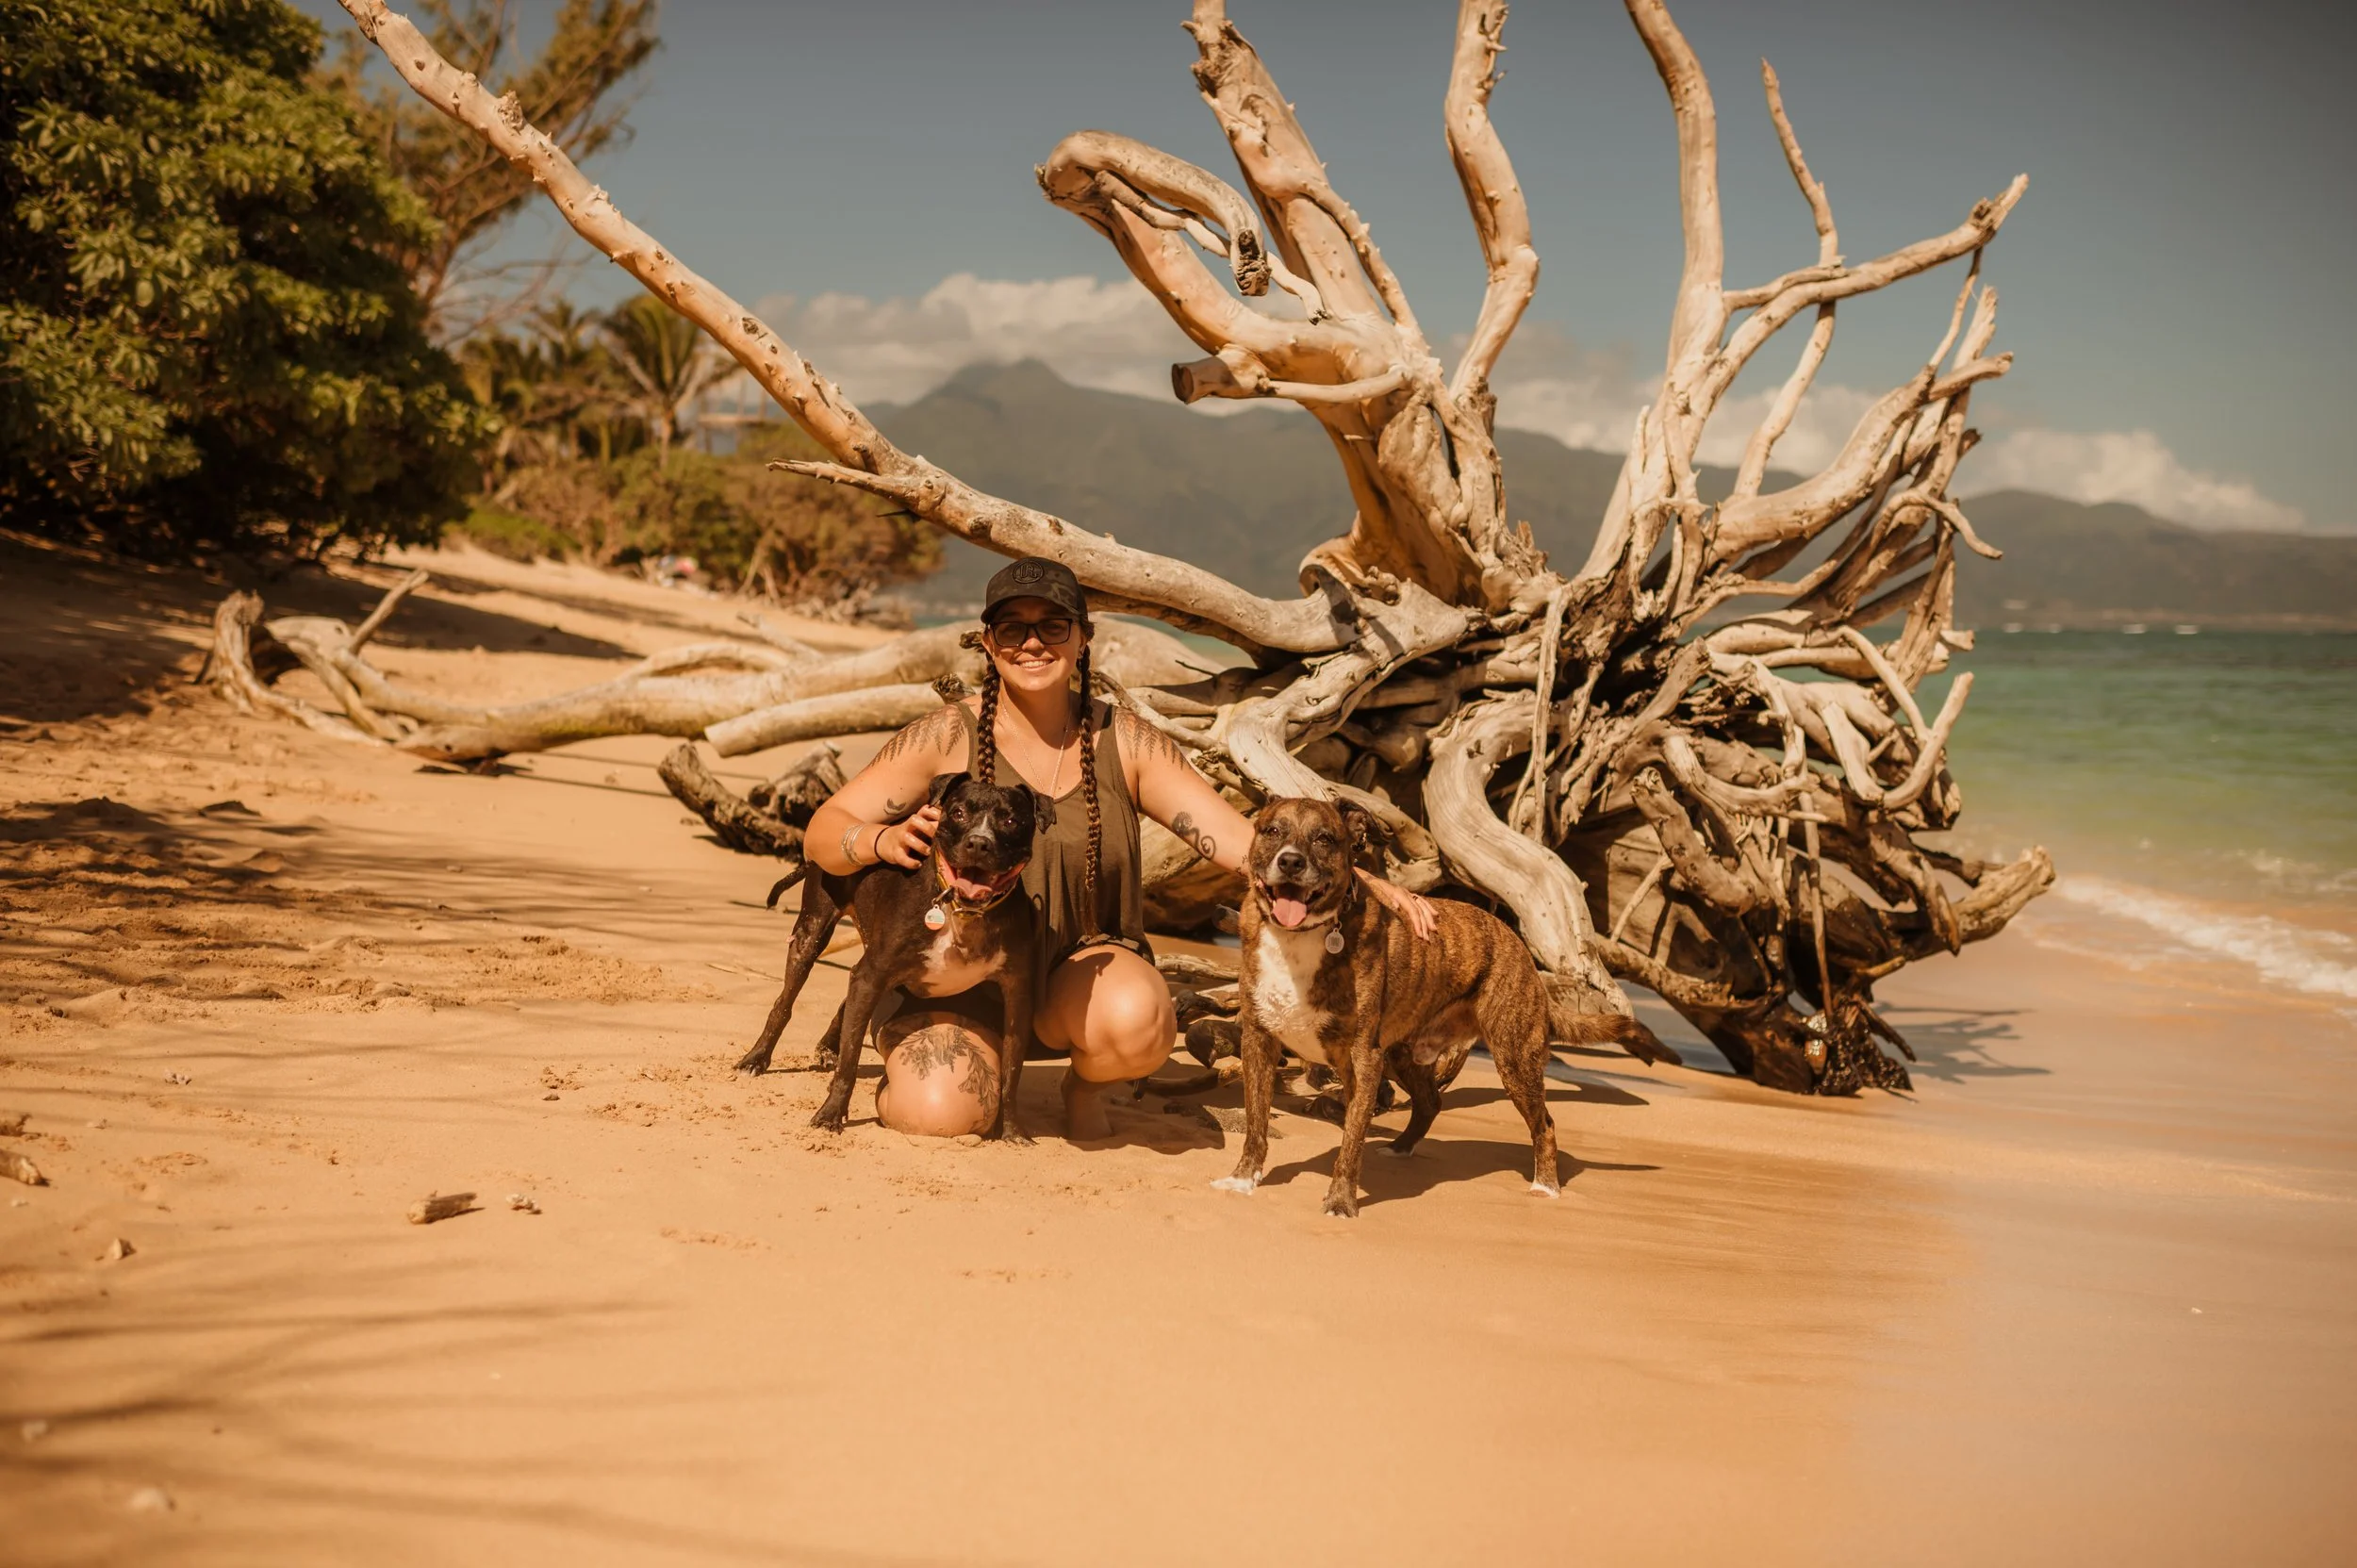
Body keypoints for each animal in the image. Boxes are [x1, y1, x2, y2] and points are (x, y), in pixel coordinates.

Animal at [732, 772, 1039, 1141]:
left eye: (1011, 821)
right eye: (958, 813)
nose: (979, 843)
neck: (962, 912)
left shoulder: (1017, 996)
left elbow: (1011, 1073)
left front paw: (1013, 1130)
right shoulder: (872, 975)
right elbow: (850, 1062)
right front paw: (831, 1115)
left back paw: (827, 1047)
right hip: (811, 934)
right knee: (784, 1003)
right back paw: (757, 1058)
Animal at [1214, 796, 1560, 1217]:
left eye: (1325, 838)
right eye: (1272, 831)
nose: (1291, 861)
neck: (1298, 936)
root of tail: (1513, 936)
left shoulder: (1363, 1058)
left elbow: (1351, 1140)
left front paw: (1340, 1202)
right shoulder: (1258, 1042)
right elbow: (1256, 1121)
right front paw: (1243, 1178)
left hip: (1514, 1059)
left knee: (1544, 1124)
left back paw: (1546, 1186)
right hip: (1403, 1055)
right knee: (1430, 1101)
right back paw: (1400, 1148)